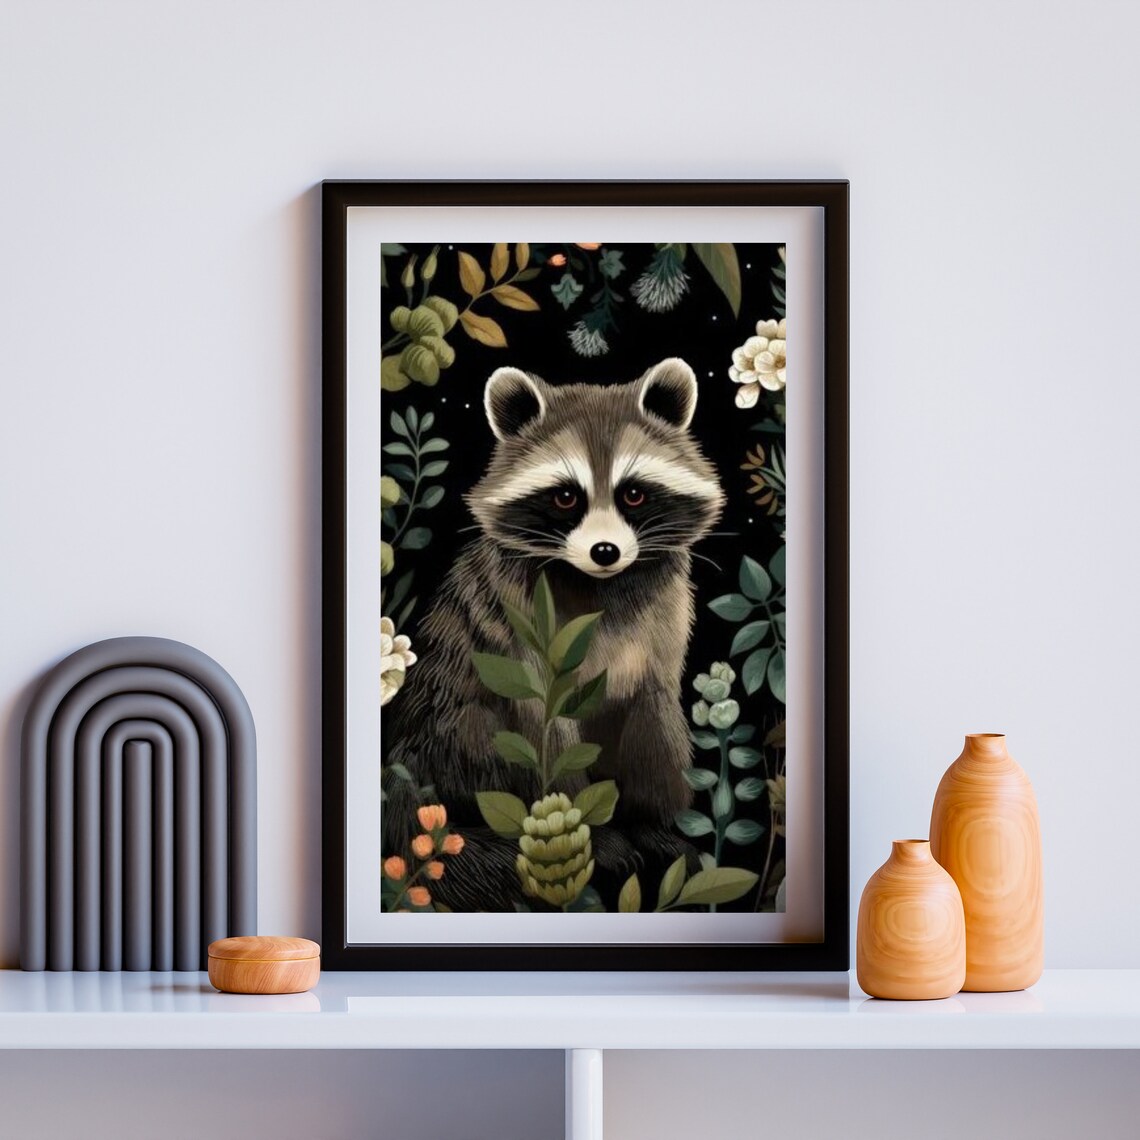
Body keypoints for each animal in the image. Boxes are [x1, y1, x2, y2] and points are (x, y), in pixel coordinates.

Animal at [387, 358, 725, 910]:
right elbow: (543, 730)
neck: (598, 583)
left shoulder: (665, 620)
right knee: (481, 728)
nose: (606, 551)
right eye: (566, 497)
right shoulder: (522, 627)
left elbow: (653, 716)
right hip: (449, 733)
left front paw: (651, 820)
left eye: (634, 493)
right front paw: (594, 832)